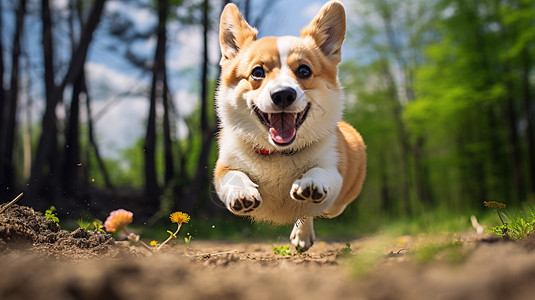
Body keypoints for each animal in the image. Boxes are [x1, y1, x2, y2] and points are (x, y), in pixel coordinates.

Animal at [216, 0, 366, 251]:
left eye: (304, 70)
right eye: (258, 72)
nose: (283, 94)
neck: (279, 154)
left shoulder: (332, 169)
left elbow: (320, 172)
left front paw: (311, 183)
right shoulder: (223, 168)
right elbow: (233, 175)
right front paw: (240, 192)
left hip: (338, 204)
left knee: (317, 210)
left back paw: (302, 234)